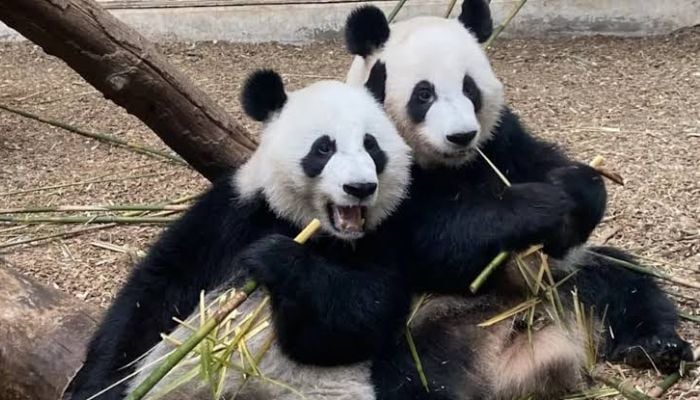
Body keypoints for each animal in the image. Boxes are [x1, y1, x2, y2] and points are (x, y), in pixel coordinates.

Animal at [65, 70, 414, 400]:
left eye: (371, 145)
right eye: (324, 147)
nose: (360, 188)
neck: (309, 228)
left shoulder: (385, 237)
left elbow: (360, 316)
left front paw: (274, 258)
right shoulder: (230, 214)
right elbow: (155, 293)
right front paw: (97, 384)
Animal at [342, 1, 693, 398]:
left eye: (469, 88)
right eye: (424, 94)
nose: (461, 136)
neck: (448, 164)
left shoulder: (500, 137)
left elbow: (540, 162)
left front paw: (574, 188)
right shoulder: (376, 167)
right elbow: (432, 240)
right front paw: (539, 206)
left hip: (564, 279)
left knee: (625, 283)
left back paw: (657, 346)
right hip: (415, 325)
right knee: (408, 373)